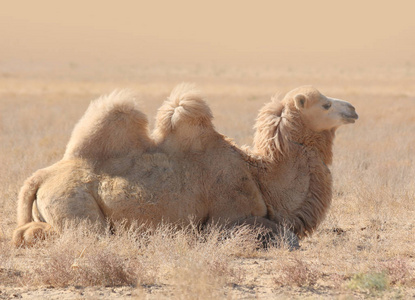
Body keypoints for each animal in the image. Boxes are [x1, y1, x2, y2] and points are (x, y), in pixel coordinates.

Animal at [12, 83, 358, 247]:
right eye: (325, 104)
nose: (353, 108)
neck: (260, 175)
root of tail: (40, 176)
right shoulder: (228, 220)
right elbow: (289, 239)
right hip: (76, 206)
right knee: (56, 233)